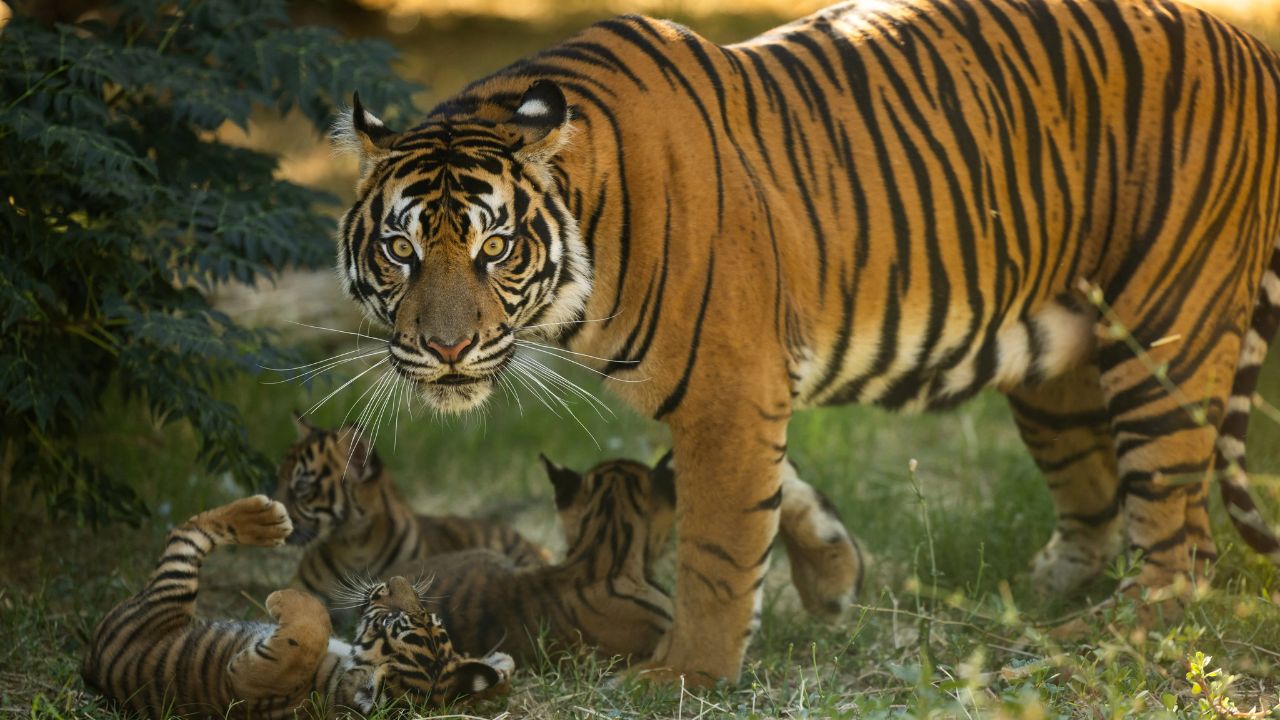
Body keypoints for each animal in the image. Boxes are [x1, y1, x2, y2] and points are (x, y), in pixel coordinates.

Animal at [81, 495, 514, 718]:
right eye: (429, 617)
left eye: (386, 622)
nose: (396, 581)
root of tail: (92, 665)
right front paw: (498, 664)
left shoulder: (252, 679)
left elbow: (307, 635)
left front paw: (286, 599)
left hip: (170, 590)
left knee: (190, 533)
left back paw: (265, 518)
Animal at [332, 0, 1280, 685]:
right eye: (401, 250)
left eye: (494, 247)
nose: (446, 350)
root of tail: (1242, 38)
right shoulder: (739, 385)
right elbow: (774, 491)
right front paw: (834, 575)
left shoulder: (728, 385)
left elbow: (718, 546)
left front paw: (684, 676)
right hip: (1056, 365)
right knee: (1103, 505)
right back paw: (1021, 605)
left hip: (1163, 335)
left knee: (1180, 546)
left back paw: (1088, 640)